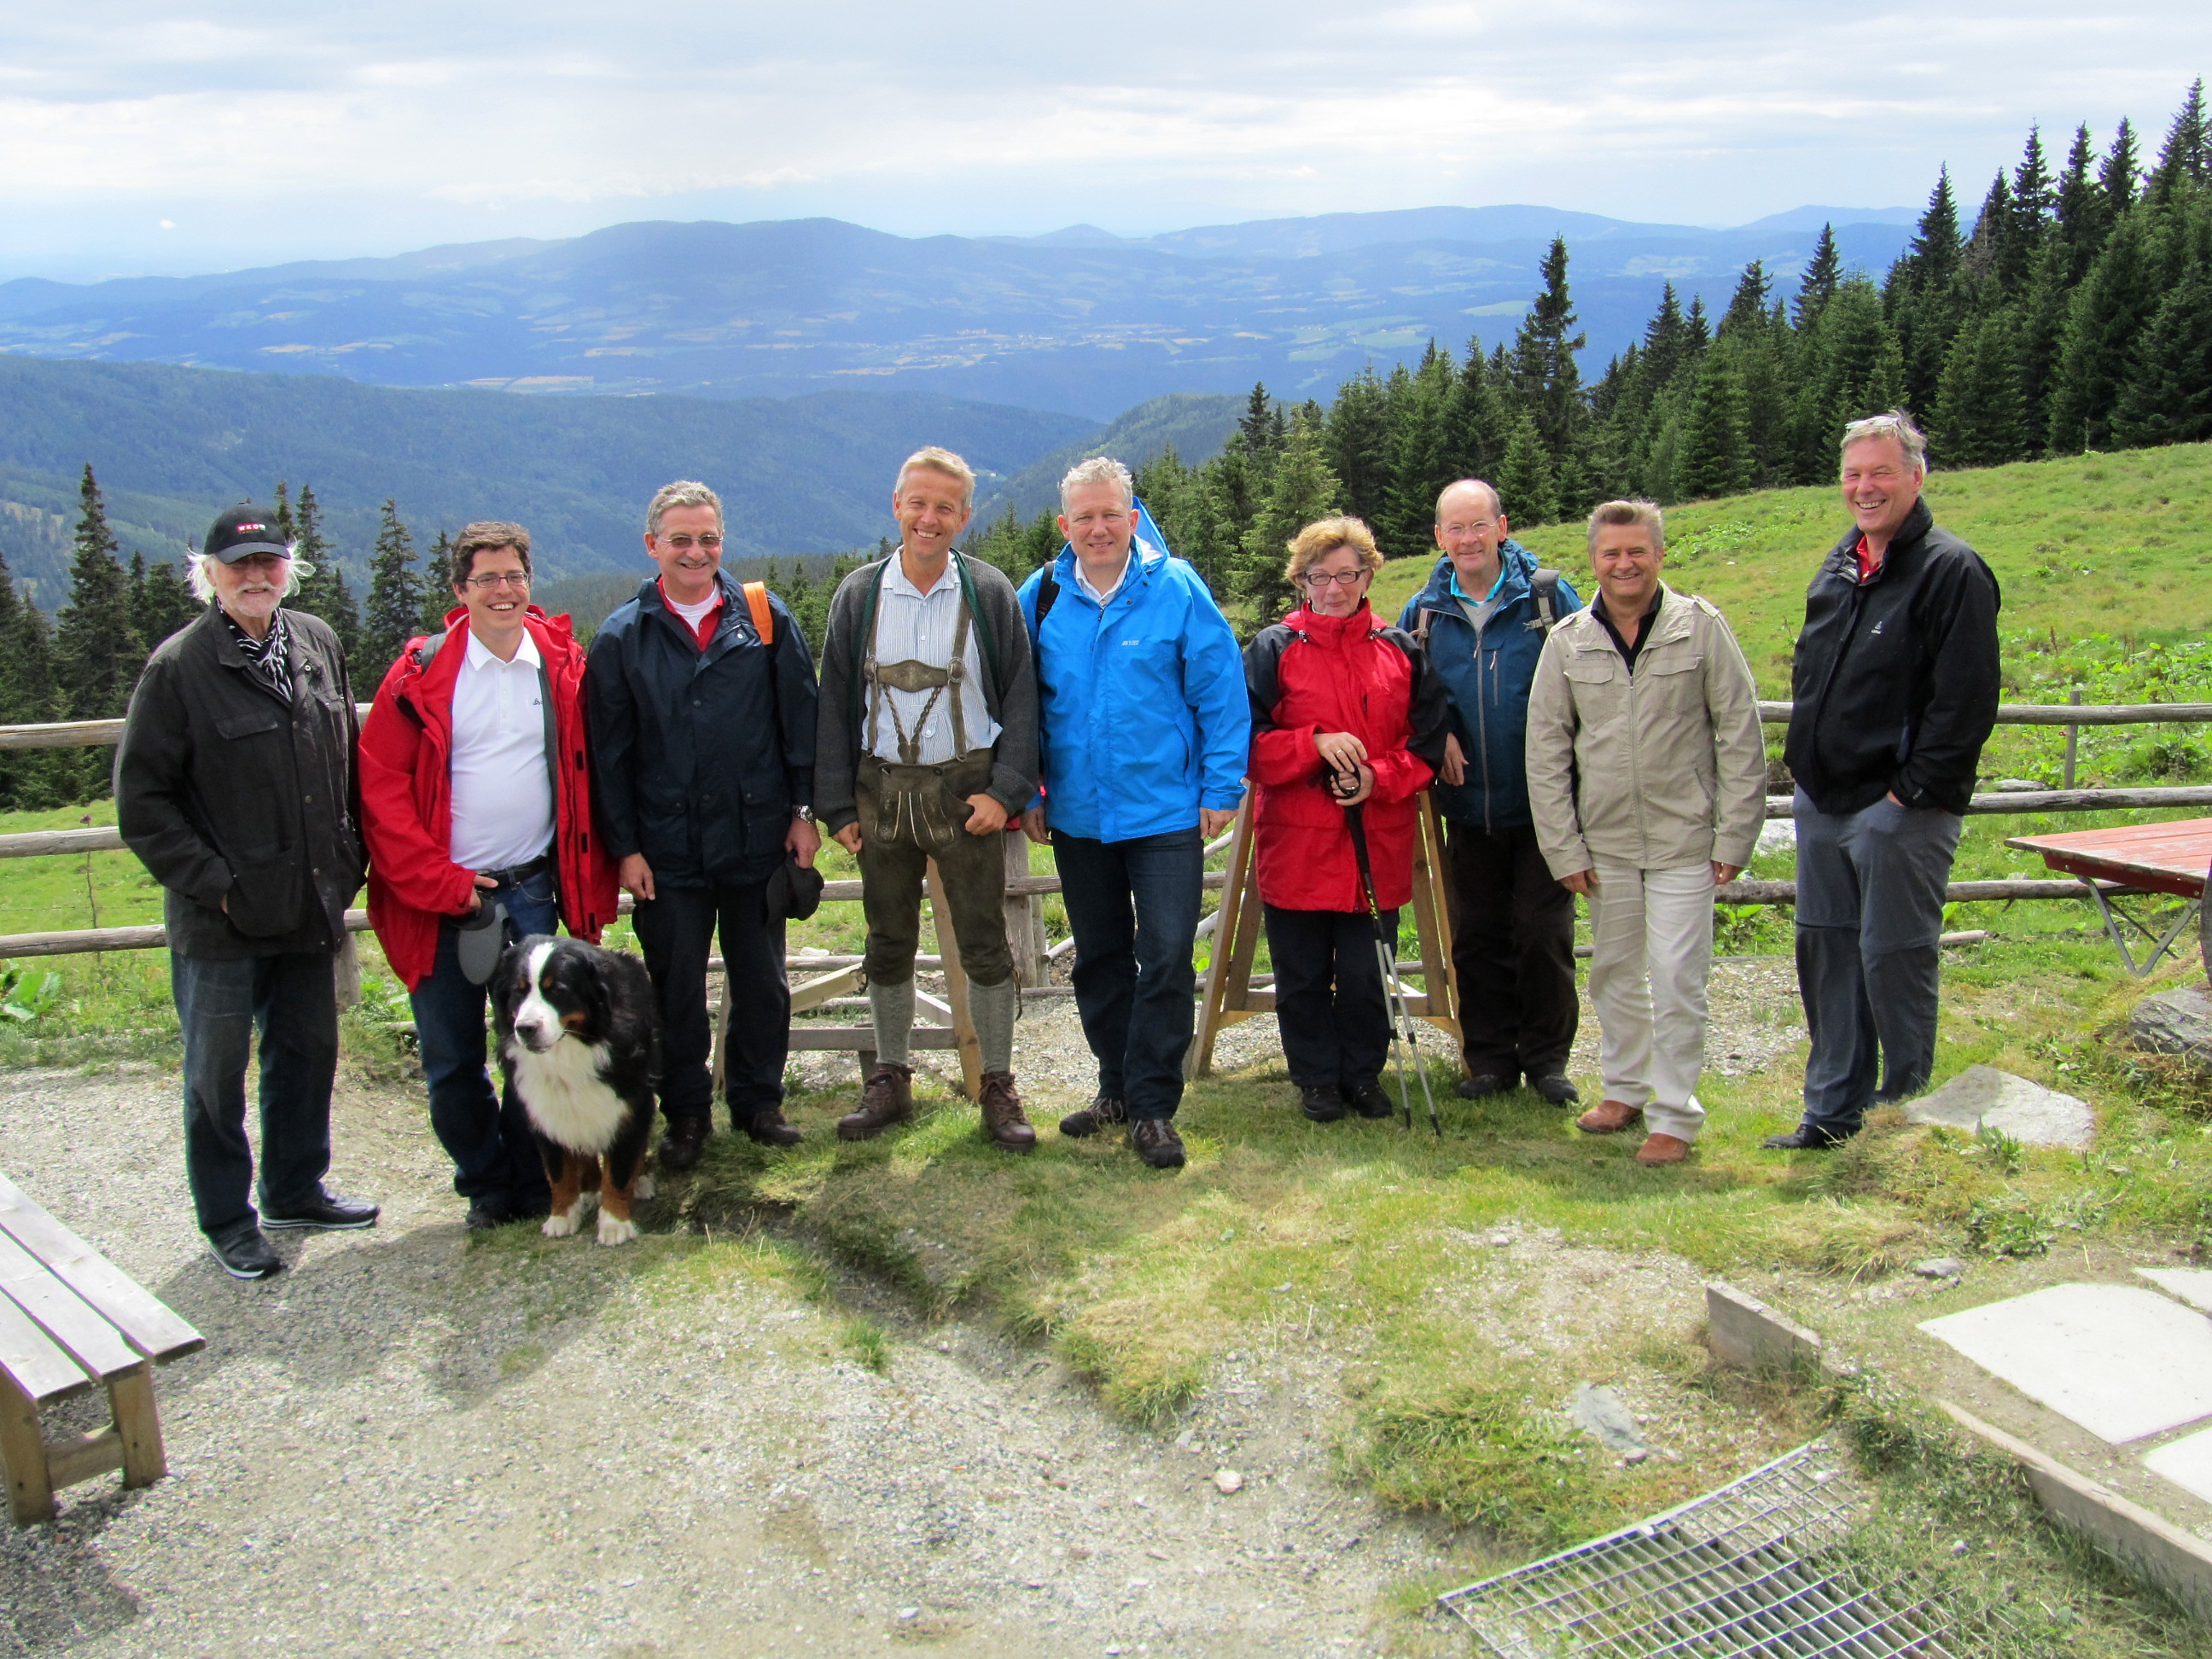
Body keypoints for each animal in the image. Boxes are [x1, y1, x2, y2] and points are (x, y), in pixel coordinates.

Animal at [486, 938, 650, 1247]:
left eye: (557, 990)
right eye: (519, 990)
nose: (525, 1028)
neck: (569, 1053)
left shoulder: (627, 1106)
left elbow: (619, 1170)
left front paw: (615, 1223)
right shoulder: (545, 1111)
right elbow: (558, 1172)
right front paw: (562, 1216)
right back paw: (590, 1189)